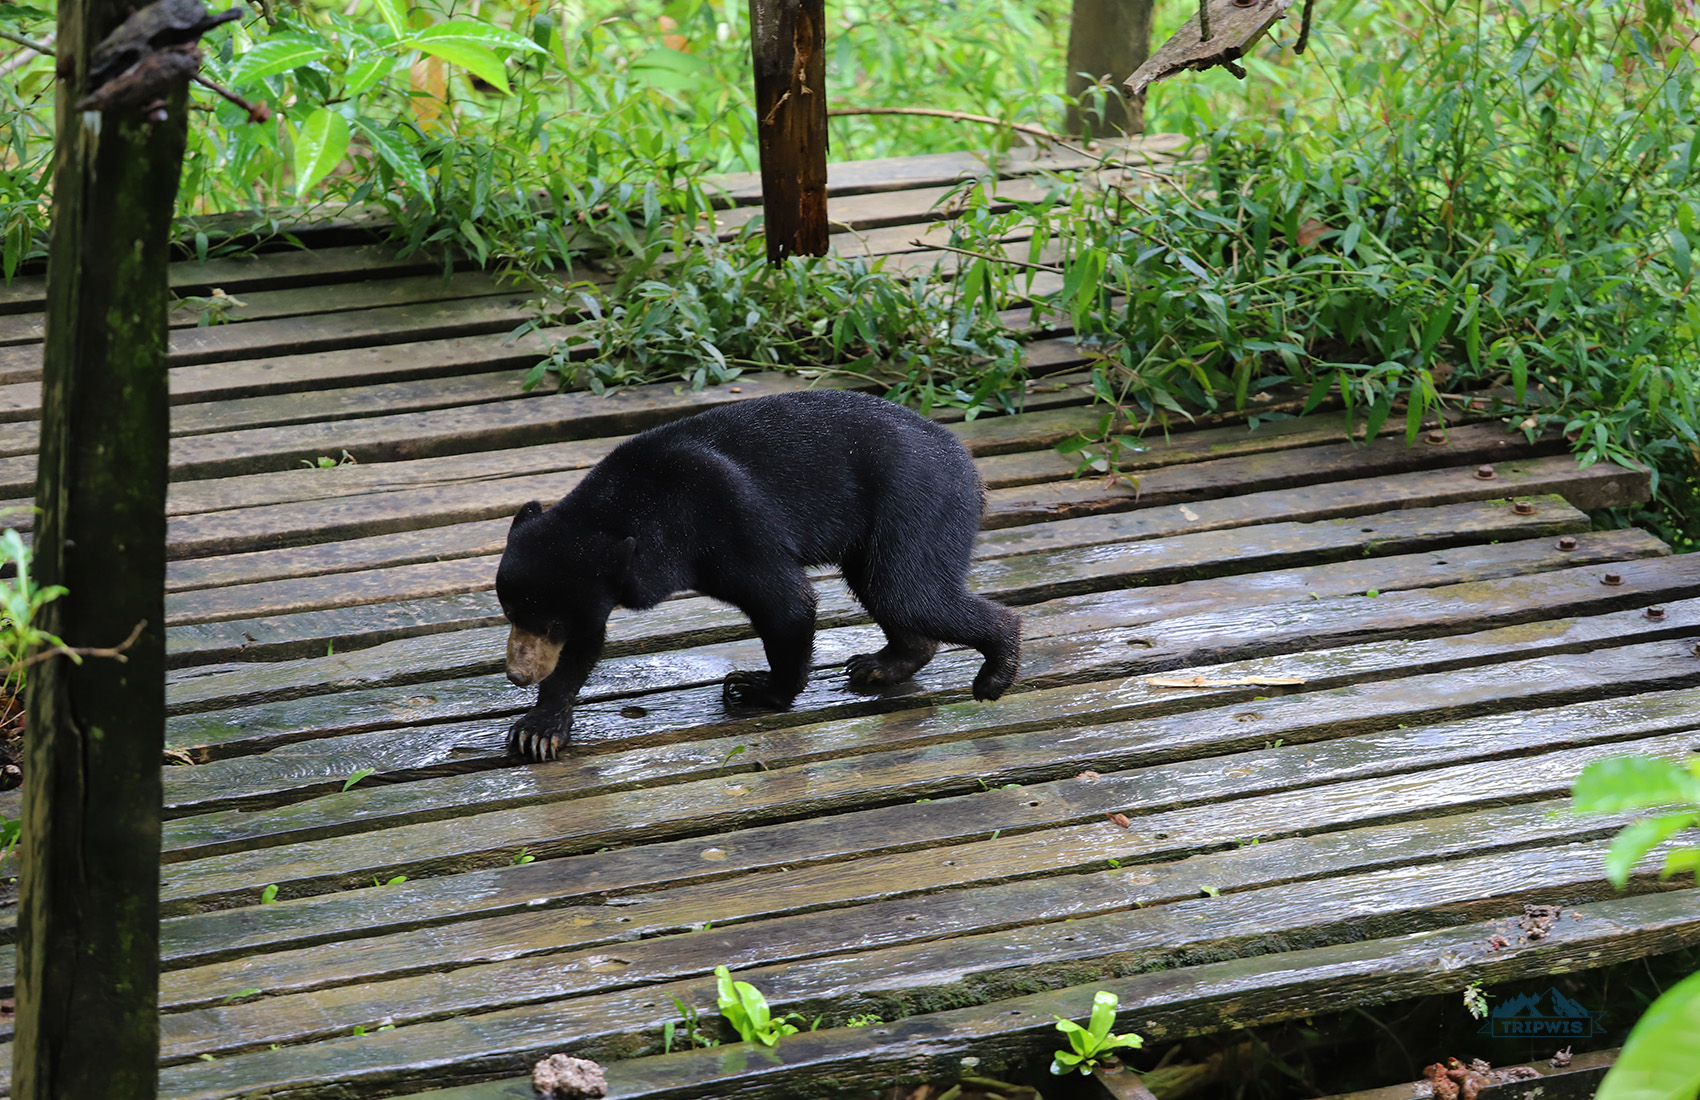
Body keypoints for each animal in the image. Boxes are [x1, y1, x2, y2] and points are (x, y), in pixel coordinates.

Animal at [496, 388, 1023, 762]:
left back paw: (995, 671)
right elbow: (586, 644)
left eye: (551, 623)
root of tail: (965, 458)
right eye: (512, 613)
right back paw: (883, 664)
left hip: (918, 504)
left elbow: (785, 601)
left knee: (906, 591)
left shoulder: (721, 523)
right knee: (885, 587)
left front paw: (759, 688)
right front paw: (540, 728)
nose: (518, 674)